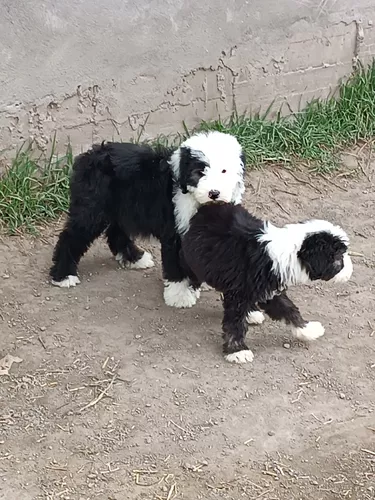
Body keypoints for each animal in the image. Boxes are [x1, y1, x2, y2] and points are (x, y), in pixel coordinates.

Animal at [50, 131, 245, 306]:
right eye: (199, 172)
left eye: (224, 171)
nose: (214, 193)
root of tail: (90, 155)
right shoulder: (174, 233)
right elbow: (176, 266)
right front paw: (179, 296)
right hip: (92, 210)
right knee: (71, 237)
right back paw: (63, 275)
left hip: (121, 208)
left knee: (115, 232)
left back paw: (134, 258)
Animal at [181, 202, 354, 364]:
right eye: (338, 256)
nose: (351, 269)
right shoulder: (239, 295)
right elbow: (235, 322)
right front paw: (237, 350)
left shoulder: (269, 291)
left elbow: (289, 309)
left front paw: (306, 329)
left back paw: (251, 312)